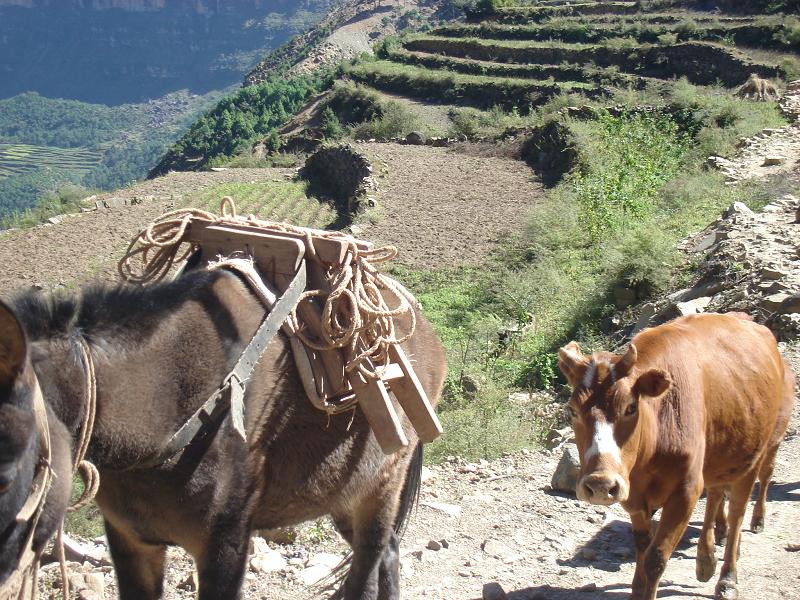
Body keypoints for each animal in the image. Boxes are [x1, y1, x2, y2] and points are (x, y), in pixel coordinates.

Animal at [560, 314, 796, 600]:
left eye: (630, 407)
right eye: (572, 411)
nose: (600, 485)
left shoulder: (686, 490)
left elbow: (656, 558)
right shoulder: (634, 495)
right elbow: (642, 545)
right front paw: (637, 589)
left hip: (756, 452)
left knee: (739, 508)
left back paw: (728, 575)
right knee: (716, 493)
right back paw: (707, 559)